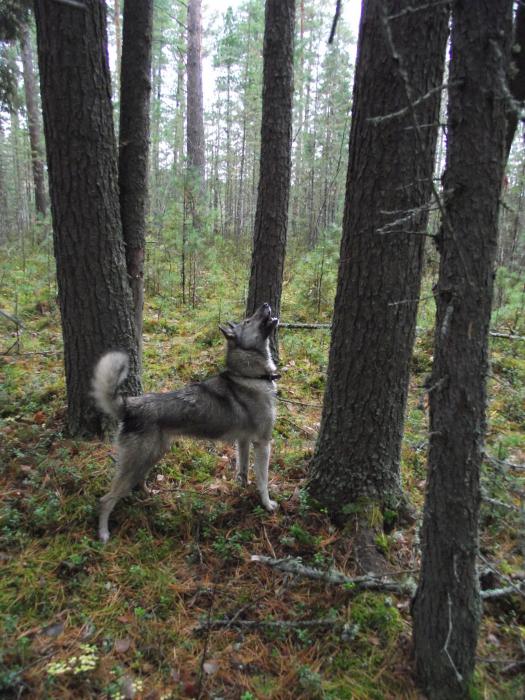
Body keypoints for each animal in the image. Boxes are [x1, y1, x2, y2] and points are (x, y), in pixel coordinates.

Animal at [92, 304, 280, 544]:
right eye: (248, 321)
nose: (265, 305)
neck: (249, 376)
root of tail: (130, 405)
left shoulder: (244, 442)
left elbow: (243, 470)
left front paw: (242, 489)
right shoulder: (263, 443)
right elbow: (263, 481)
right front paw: (267, 505)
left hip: (153, 454)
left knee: (139, 480)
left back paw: (149, 495)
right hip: (137, 461)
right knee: (106, 499)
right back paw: (104, 534)